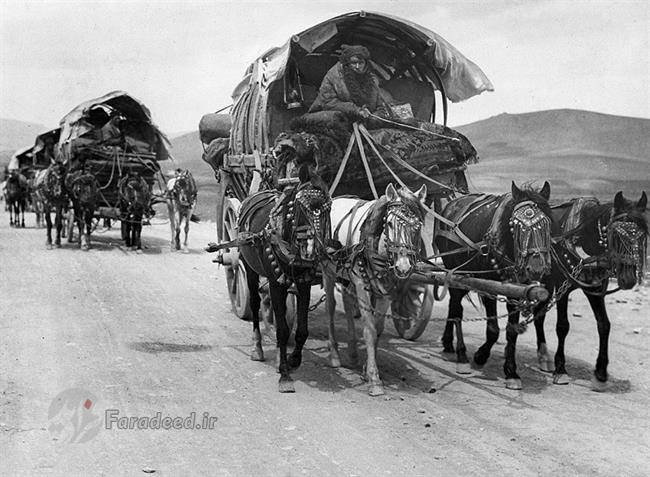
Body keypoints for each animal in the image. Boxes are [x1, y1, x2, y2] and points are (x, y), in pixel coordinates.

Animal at [237, 162, 330, 392]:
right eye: (300, 208)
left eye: (327, 210)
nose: (310, 250)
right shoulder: (274, 283)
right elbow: (281, 330)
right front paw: (285, 375)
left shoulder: (304, 283)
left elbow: (301, 330)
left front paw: (293, 359)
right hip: (249, 267)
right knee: (255, 302)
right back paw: (257, 347)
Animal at [322, 182, 426, 394]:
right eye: (389, 224)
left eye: (417, 226)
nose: (403, 266)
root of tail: (334, 199)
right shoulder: (362, 283)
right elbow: (369, 330)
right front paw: (374, 379)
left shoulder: (386, 291)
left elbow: (377, 329)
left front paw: (365, 369)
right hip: (328, 271)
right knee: (330, 307)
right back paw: (334, 355)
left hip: (346, 275)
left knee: (347, 302)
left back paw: (353, 353)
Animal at [432, 180, 548, 388]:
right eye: (517, 226)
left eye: (547, 224)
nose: (536, 268)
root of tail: (451, 204)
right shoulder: (489, 287)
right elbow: (493, 329)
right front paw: (480, 356)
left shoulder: (515, 289)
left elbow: (512, 331)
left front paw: (511, 372)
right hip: (455, 272)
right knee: (457, 309)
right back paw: (462, 356)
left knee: (453, 306)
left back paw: (447, 342)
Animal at [532, 191, 644, 390]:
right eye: (616, 235)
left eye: (642, 236)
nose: (629, 279)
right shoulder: (563, 287)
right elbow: (562, 326)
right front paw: (561, 369)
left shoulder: (595, 289)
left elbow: (604, 325)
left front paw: (601, 373)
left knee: (539, 313)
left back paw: (543, 356)